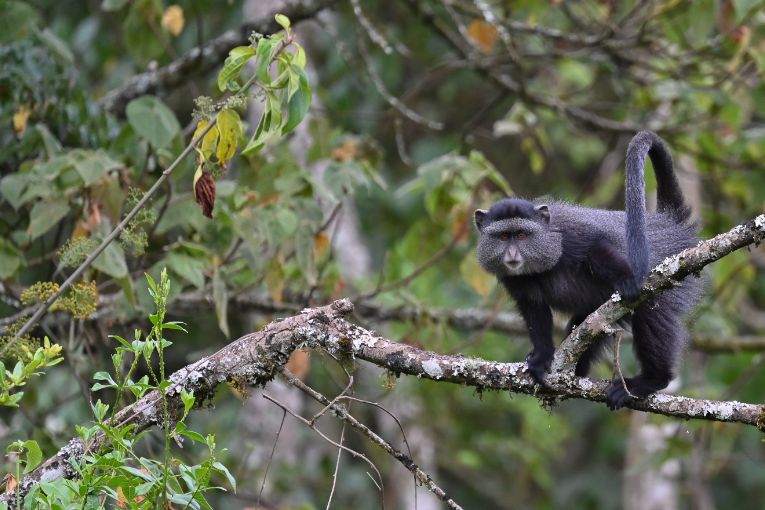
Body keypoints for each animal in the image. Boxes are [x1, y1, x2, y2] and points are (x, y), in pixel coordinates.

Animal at [474, 131, 700, 410]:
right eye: (505, 236)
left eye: (522, 235)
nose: (513, 254)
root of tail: (670, 222)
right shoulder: (514, 281)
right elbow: (534, 309)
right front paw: (541, 357)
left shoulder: (570, 237)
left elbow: (596, 248)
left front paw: (629, 280)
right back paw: (578, 370)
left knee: (650, 315)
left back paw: (650, 380)